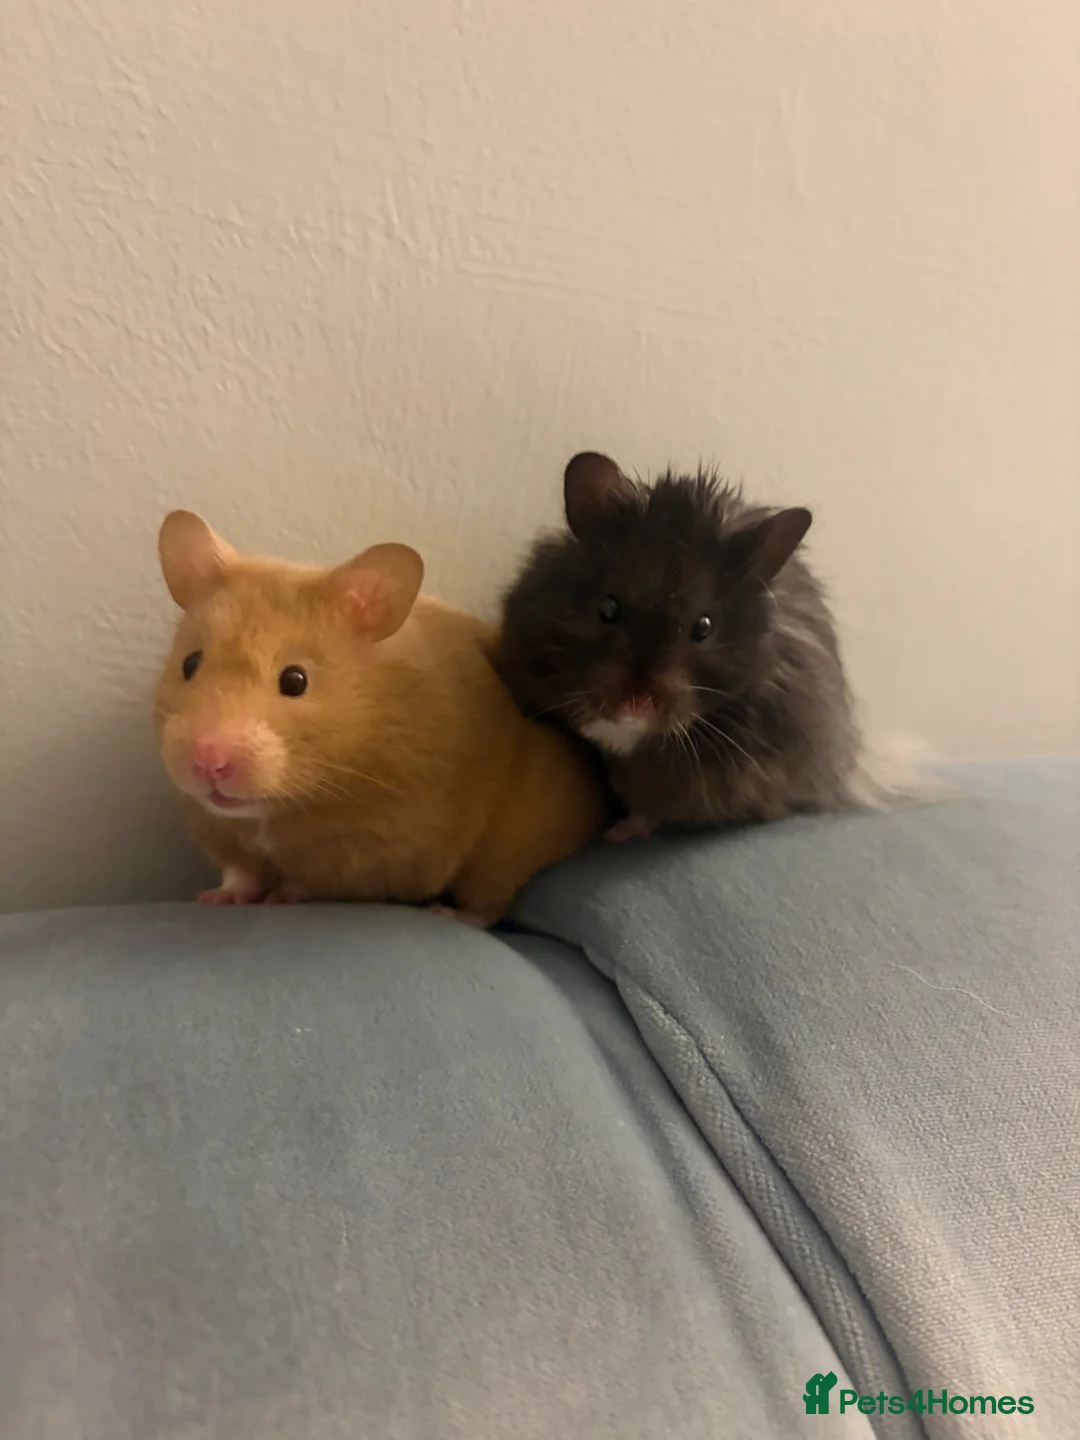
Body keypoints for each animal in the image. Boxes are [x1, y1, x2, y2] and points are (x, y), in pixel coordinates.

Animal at [154, 511, 606, 923]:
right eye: (190, 664)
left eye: (295, 681)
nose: (208, 760)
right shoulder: (218, 830)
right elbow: (240, 872)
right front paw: (215, 899)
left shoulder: (373, 850)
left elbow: (314, 882)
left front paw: (281, 896)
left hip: (509, 847)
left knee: (492, 900)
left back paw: (450, 914)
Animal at [495, 451, 867, 841]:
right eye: (608, 608)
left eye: (704, 627)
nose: (634, 707)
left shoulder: (707, 779)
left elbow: (653, 807)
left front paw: (615, 834)